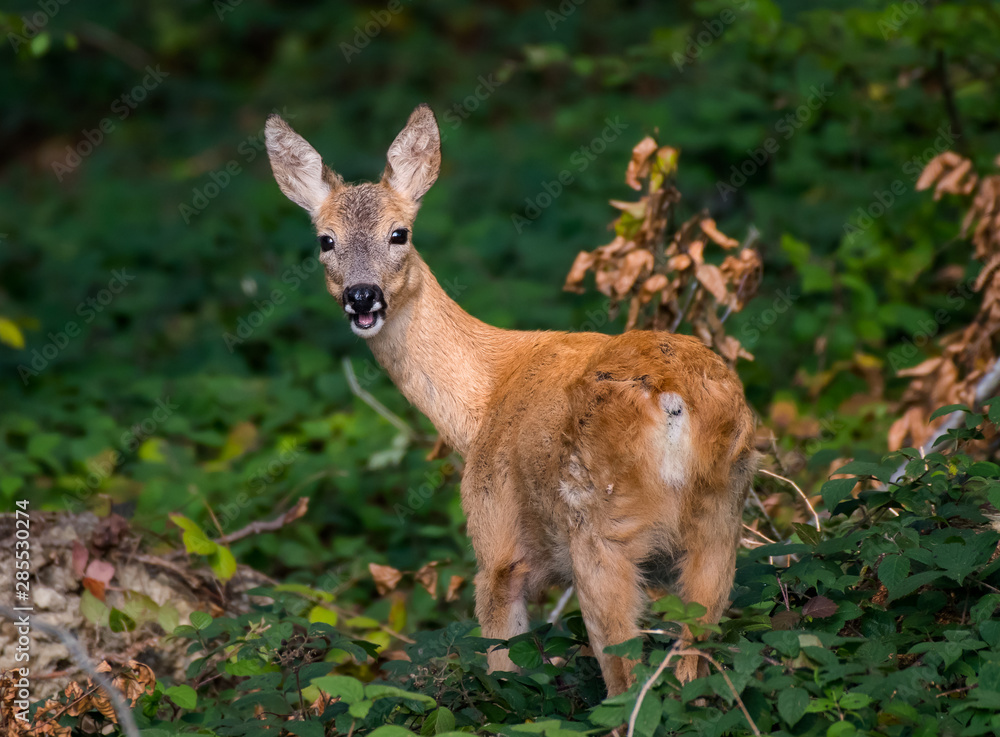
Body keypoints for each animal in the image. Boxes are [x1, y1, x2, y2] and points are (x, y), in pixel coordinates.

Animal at [264, 104, 758, 697]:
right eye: (326, 240)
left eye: (399, 233)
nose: (363, 297)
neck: (479, 405)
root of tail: (673, 400)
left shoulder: (497, 545)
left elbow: (501, 664)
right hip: (722, 518)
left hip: (599, 529)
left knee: (624, 674)